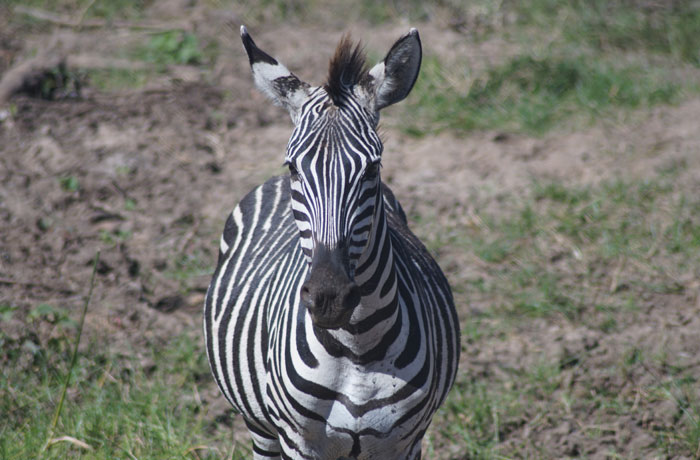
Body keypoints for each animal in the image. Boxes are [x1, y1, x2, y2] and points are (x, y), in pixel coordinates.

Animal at [205, 27, 462, 458]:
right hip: (259, 426)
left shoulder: (406, 442)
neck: (357, 349)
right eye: (294, 166)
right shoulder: (297, 441)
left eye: (372, 167)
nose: (329, 297)